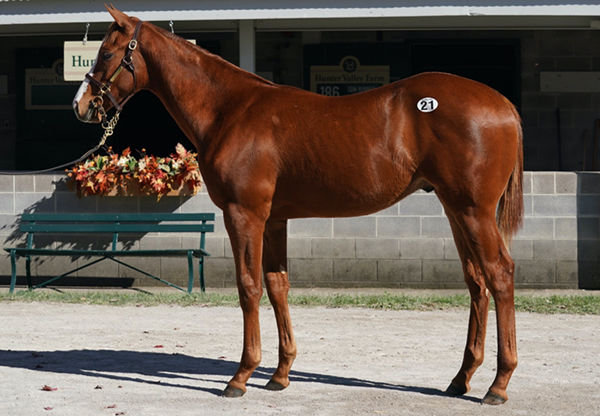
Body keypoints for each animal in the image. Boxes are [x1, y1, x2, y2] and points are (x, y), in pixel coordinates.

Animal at [75, 4, 524, 404]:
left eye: (107, 52)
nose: (81, 105)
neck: (230, 110)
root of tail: (503, 104)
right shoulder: (275, 220)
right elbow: (277, 286)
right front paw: (280, 374)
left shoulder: (244, 214)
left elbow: (249, 286)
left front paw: (241, 376)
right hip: (455, 210)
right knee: (477, 283)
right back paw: (461, 379)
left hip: (473, 211)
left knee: (499, 275)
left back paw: (499, 385)